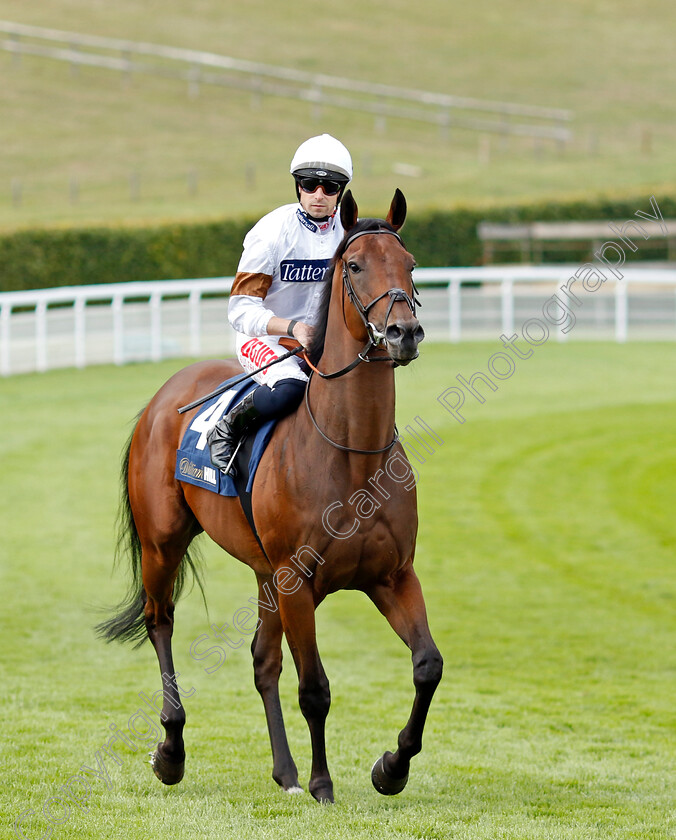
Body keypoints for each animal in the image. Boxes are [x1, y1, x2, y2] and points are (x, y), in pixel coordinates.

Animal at [96, 189, 444, 800]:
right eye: (355, 266)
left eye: (410, 264)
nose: (404, 333)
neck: (353, 453)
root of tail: (163, 396)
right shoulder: (297, 580)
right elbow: (315, 689)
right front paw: (324, 783)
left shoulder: (392, 575)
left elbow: (427, 665)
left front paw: (391, 767)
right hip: (163, 542)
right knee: (160, 621)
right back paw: (171, 750)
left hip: (263, 576)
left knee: (262, 661)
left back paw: (284, 772)